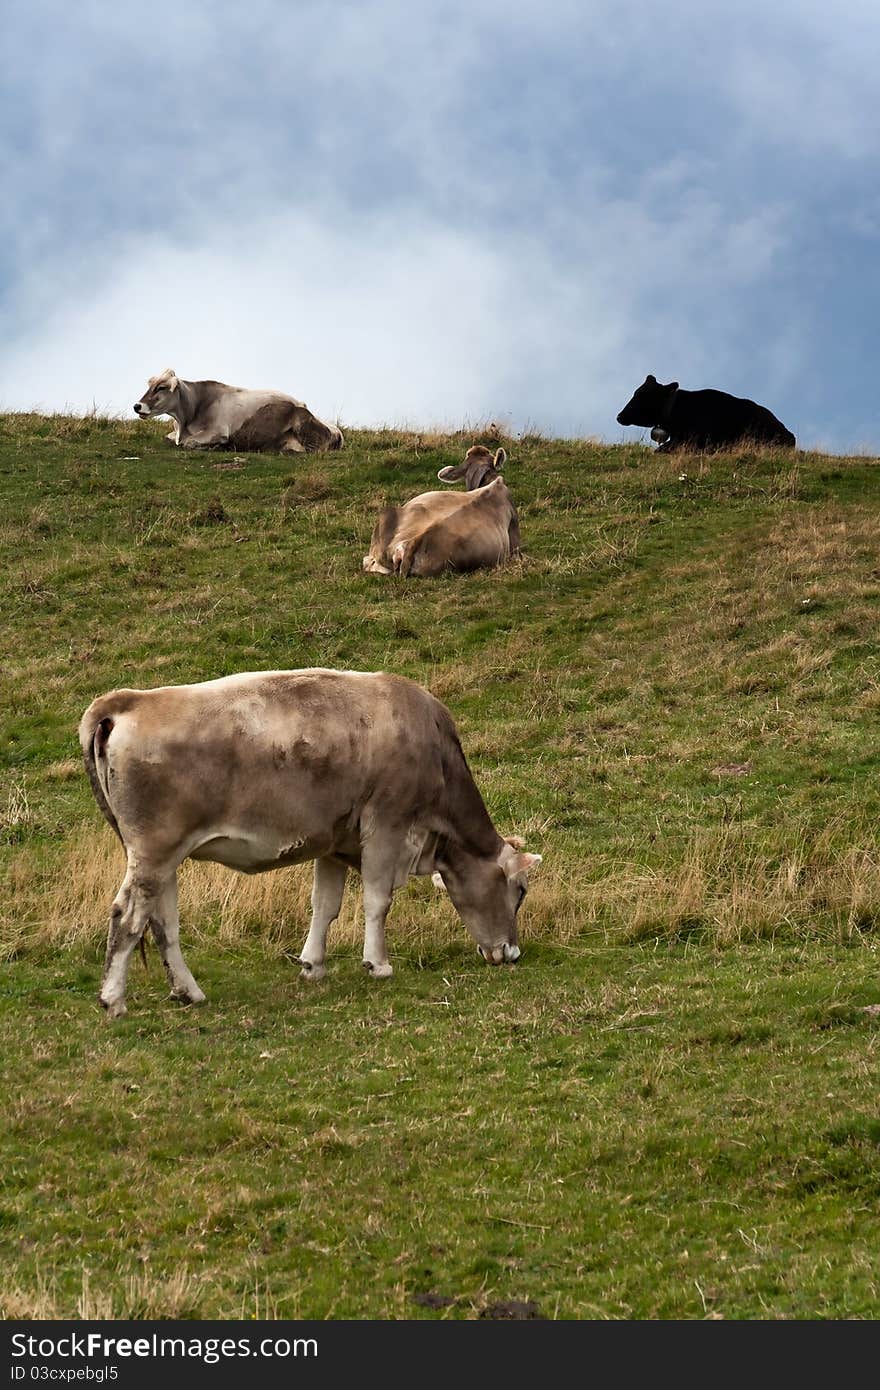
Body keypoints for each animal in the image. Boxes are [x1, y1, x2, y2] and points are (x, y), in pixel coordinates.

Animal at [78, 667, 539, 1017]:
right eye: (519, 891)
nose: (512, 953)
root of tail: (130, 699)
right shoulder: (387, 826)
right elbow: (377, 900)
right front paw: (378, 964)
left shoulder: (334, 840)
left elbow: (325, 905)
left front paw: (313, 964)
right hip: (153, 852)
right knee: (127, 915)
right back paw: (114, 999)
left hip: (162, 859)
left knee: (162, 923)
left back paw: (187, 991)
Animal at [134, 366, 343, 453]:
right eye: (150, 386)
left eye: (161, 387)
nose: (137, 406)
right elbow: (169, 439)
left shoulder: (218, 431)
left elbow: (188, 443)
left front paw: (217, 446)